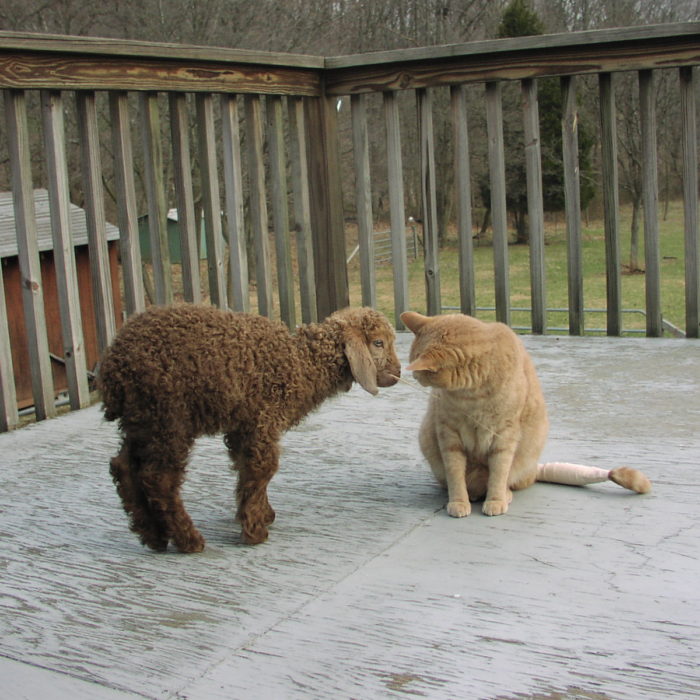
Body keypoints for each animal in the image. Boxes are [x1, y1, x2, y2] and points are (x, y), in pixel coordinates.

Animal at [101, 304, 402, 552]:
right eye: (378, 343)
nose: (398, 372)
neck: (300, 364)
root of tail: (114, 364)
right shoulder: (263, 420)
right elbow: (262, 470)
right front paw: (255, 531)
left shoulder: (242, 428)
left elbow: (245, 470)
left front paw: (260, 514)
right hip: (168, 418)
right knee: (158, 479)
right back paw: (188, 540)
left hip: (142, 421)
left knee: (124, 468)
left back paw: (153, 535)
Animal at [400, 308, 652, 516]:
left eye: (417, 368)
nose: (413, 375)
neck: (472, 396)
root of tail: (533, 469)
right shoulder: (448, 435)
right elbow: (455, 476)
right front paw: (459, 502)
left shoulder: (504, 436)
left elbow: (499, 474)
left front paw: (496, 500)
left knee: (511, 480)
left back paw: (503, 494)